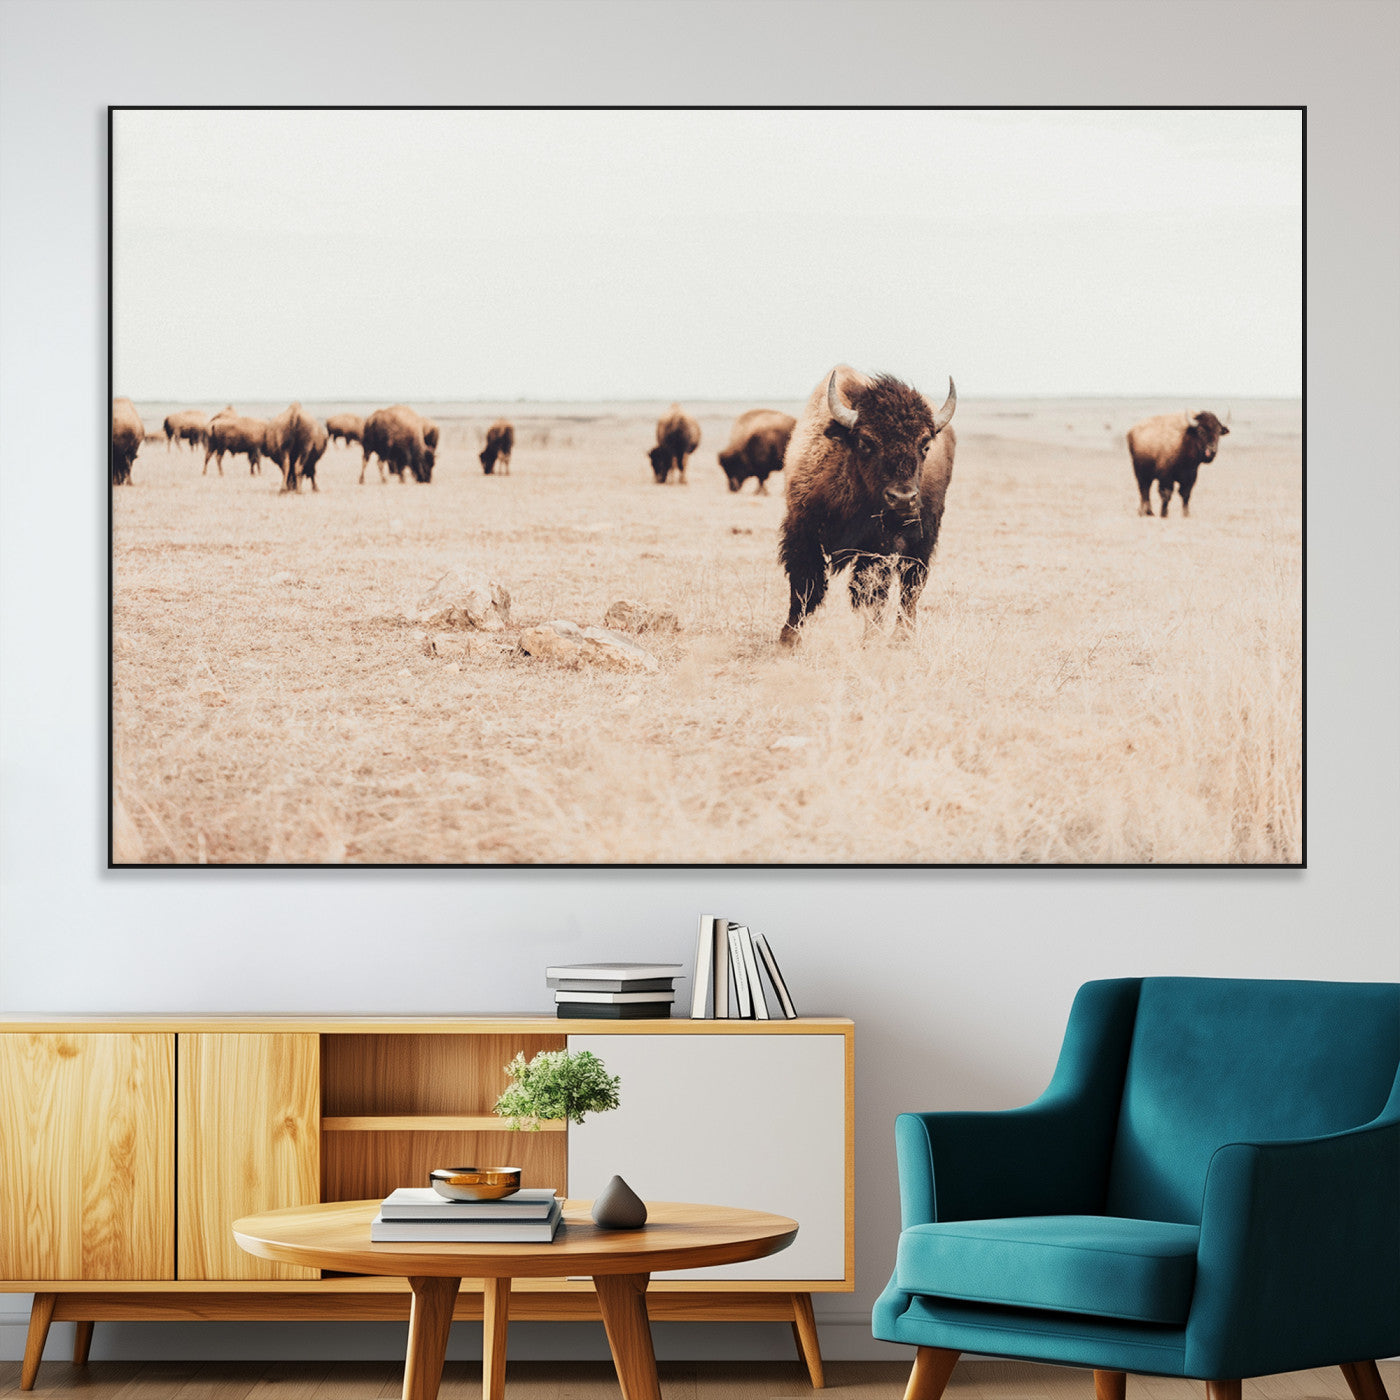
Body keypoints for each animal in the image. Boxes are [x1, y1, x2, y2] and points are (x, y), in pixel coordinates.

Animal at [778, 366, 956, 646]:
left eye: (925, 445)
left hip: (924, 537)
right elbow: (805, 587)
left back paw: (902, 636)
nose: (903, 498)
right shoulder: (802, 533)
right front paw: (788, 639)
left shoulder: (879, 546)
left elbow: (871, 592)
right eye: (866, 442)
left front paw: (870, 639)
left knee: (910, 586)